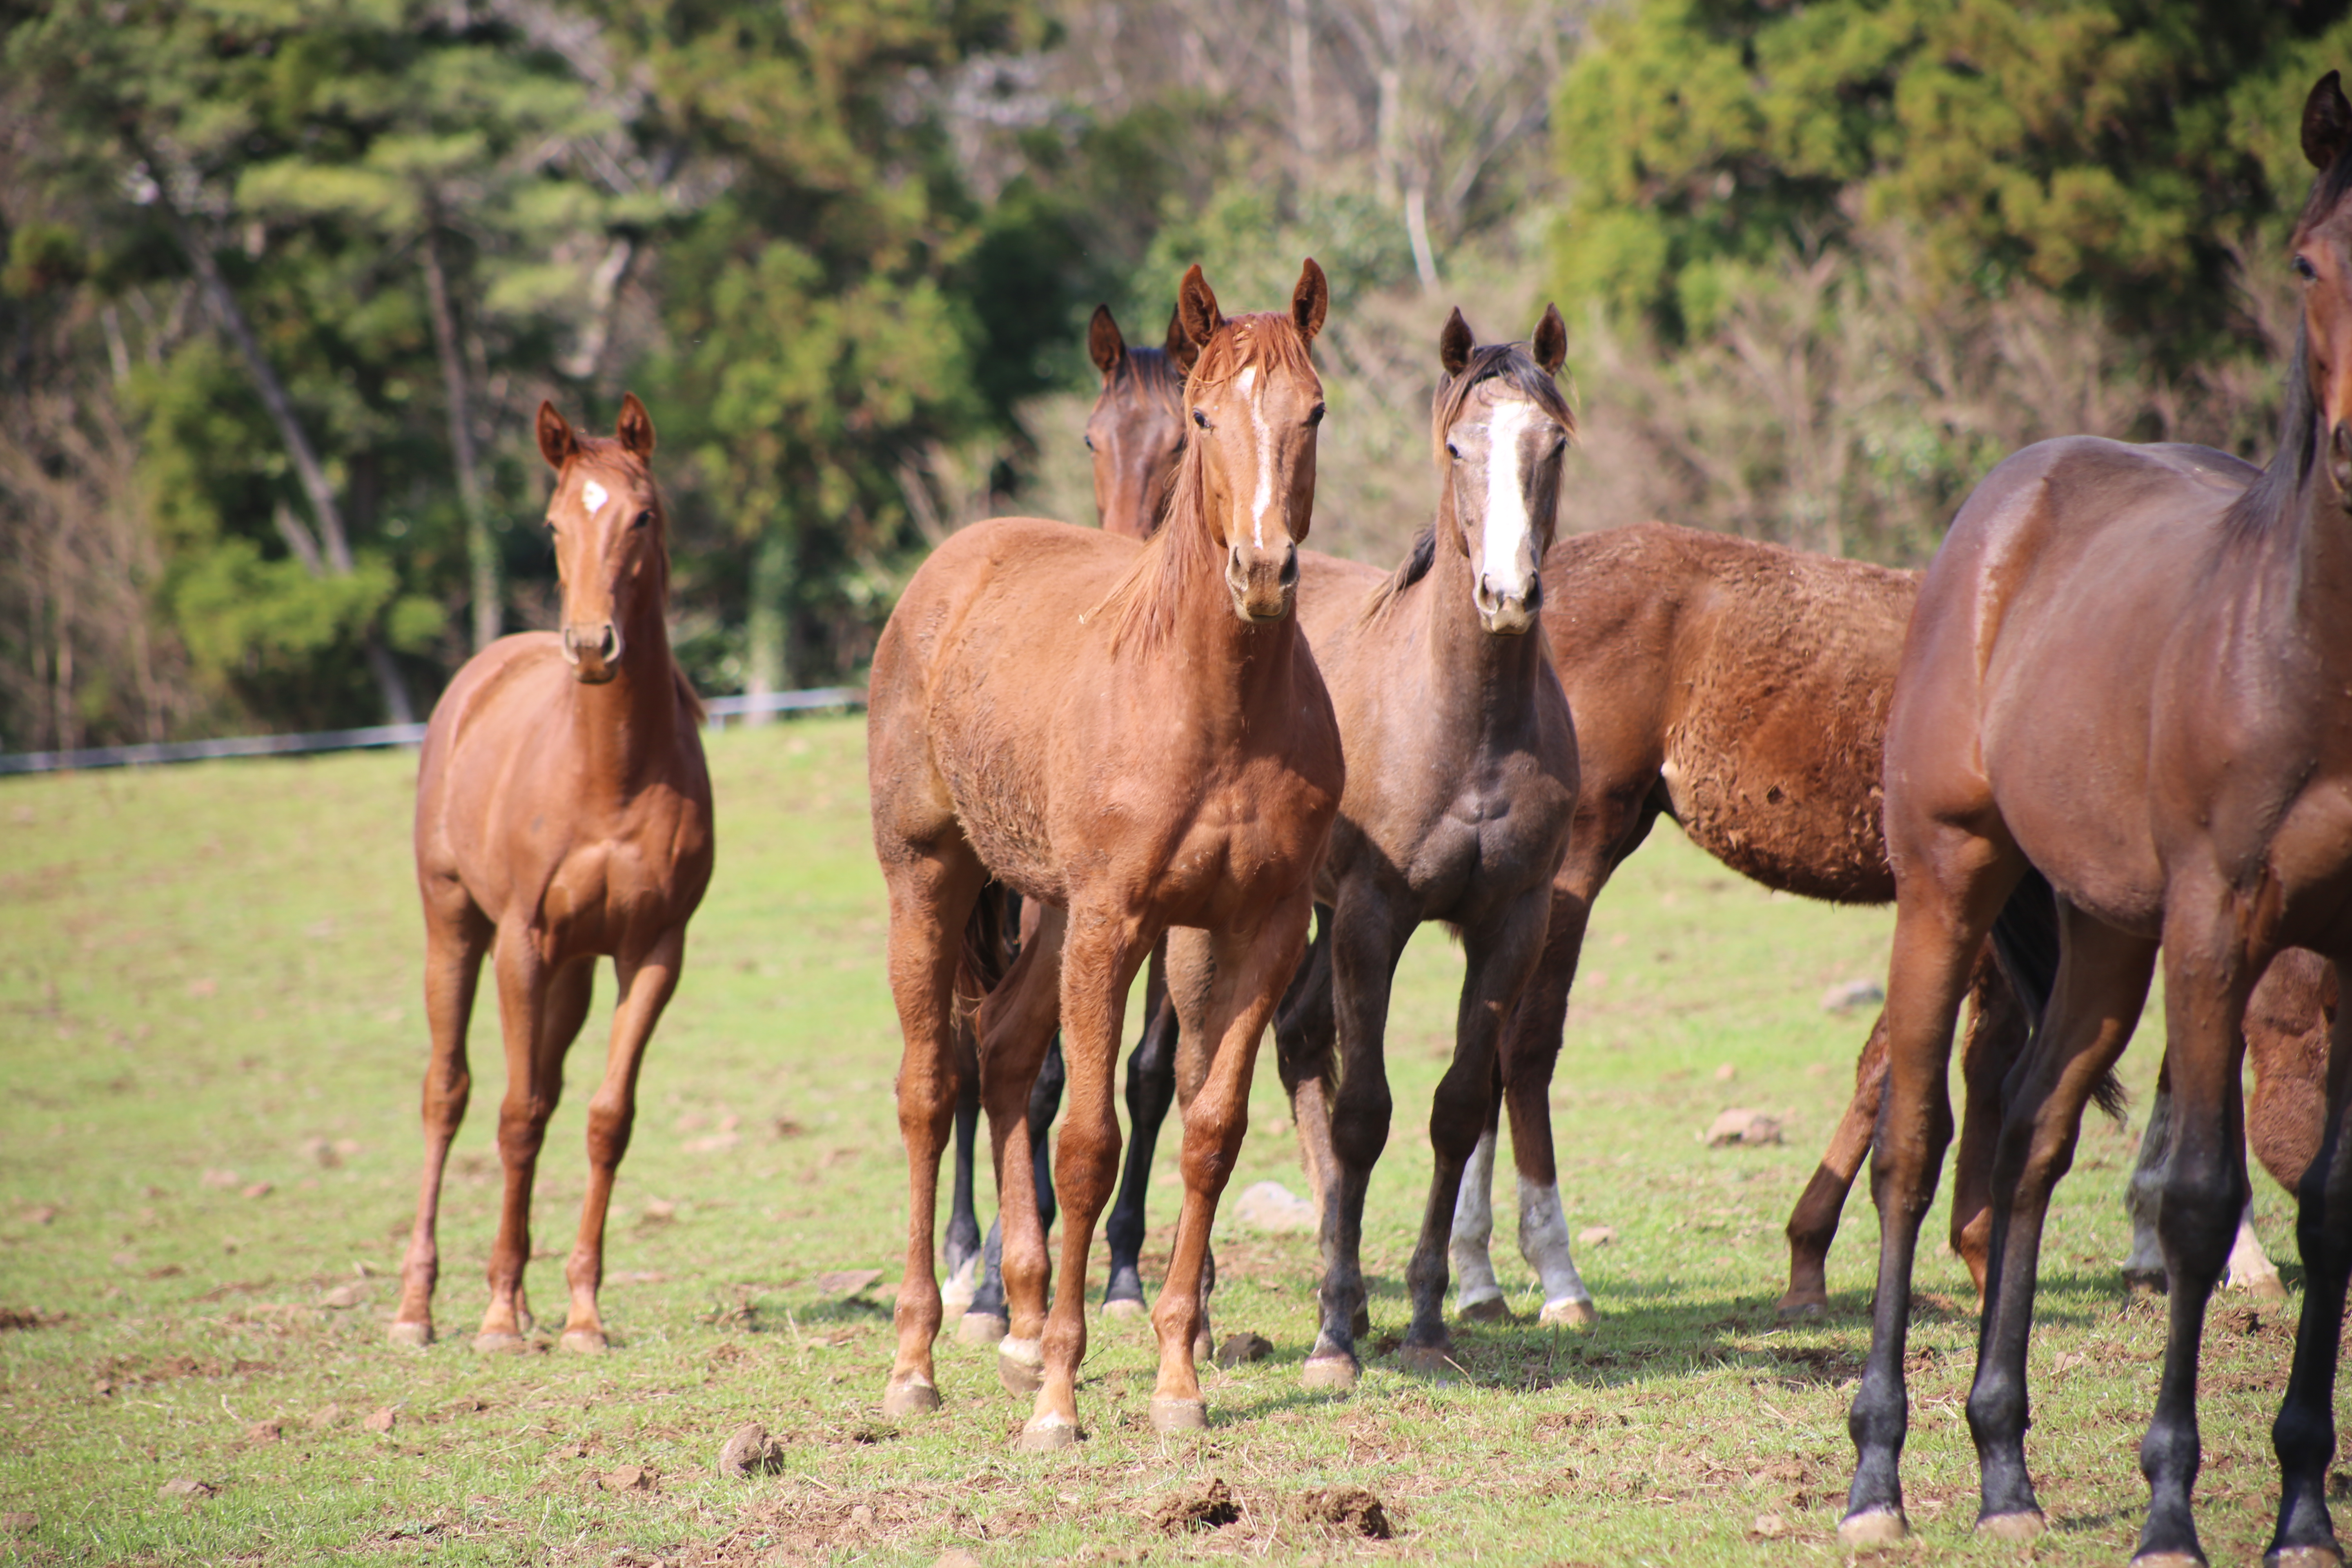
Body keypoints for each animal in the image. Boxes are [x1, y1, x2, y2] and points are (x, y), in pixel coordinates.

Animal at [390, 399, 706, 1354]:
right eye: (555, 524)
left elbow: (605, 1120)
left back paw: (528, 1301)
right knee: (449, 1094)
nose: (592, 645)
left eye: (643, 516)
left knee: (553, 1091)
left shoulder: (653, 952)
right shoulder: (522, 945)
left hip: (571, 971)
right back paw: (419, 1308)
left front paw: (580, 1314)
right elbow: (516, 1117)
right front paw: (495, 1316)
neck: (608, 775)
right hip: (457, 930)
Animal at [865, 263, 1345, 1457]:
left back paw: (1025, 1318)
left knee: (999, 1054)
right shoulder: (1116, 920)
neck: (1207, 701)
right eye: (1204, 418)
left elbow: (1208, 1132)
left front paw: (1175, 1376)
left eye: (1313, 412)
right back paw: (919, 1358)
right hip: (934, 883)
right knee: (931, 1088)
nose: (1261, 568)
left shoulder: (1255, 931)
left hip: (1051, 920)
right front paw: (1059, 1400)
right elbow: (1085, 1142)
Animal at [1844, 67, 2352, 1561]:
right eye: (2307, 260)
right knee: (1915, 1142)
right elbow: (2196, 1200)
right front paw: (2173, 1503)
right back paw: (1879, 1473)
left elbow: (2333, 1207)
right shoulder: (2220, 926)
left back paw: (2005, 1467)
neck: (2309, 651)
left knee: (2028, 1135)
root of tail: (2010, 497)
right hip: (1953, 881)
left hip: (2107, 932)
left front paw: (2303, 1500)